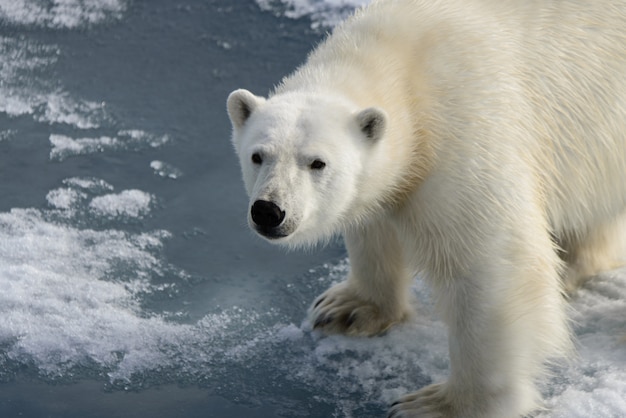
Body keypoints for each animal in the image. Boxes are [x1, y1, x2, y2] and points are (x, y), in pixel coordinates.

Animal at [224, 1, 624, 416]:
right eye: (257, 155)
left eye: (317, 162)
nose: (269, 211)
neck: (404, 67)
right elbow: (374, 225)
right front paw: (346, 308)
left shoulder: (465, 129)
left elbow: (494, 267)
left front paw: (442, 404)